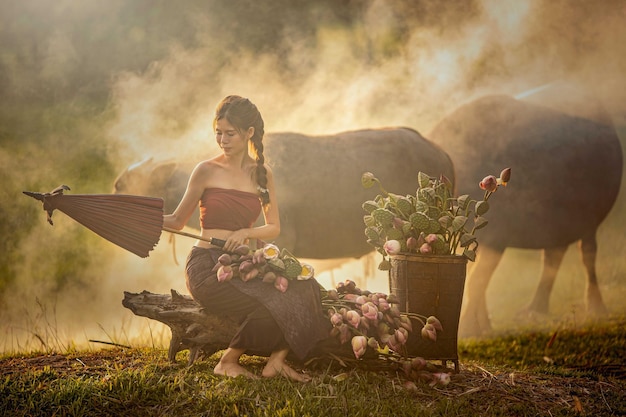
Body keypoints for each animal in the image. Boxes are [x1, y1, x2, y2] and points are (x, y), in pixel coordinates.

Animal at [426, 89, 620, 336]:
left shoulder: (498, 237)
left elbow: (476, 280)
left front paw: (469, 328)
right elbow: (476, 278)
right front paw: (483, 326)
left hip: (588, 220)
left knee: (587, 255)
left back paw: (596, 308)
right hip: (557, 226)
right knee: (553, 257)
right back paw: (535, 309)